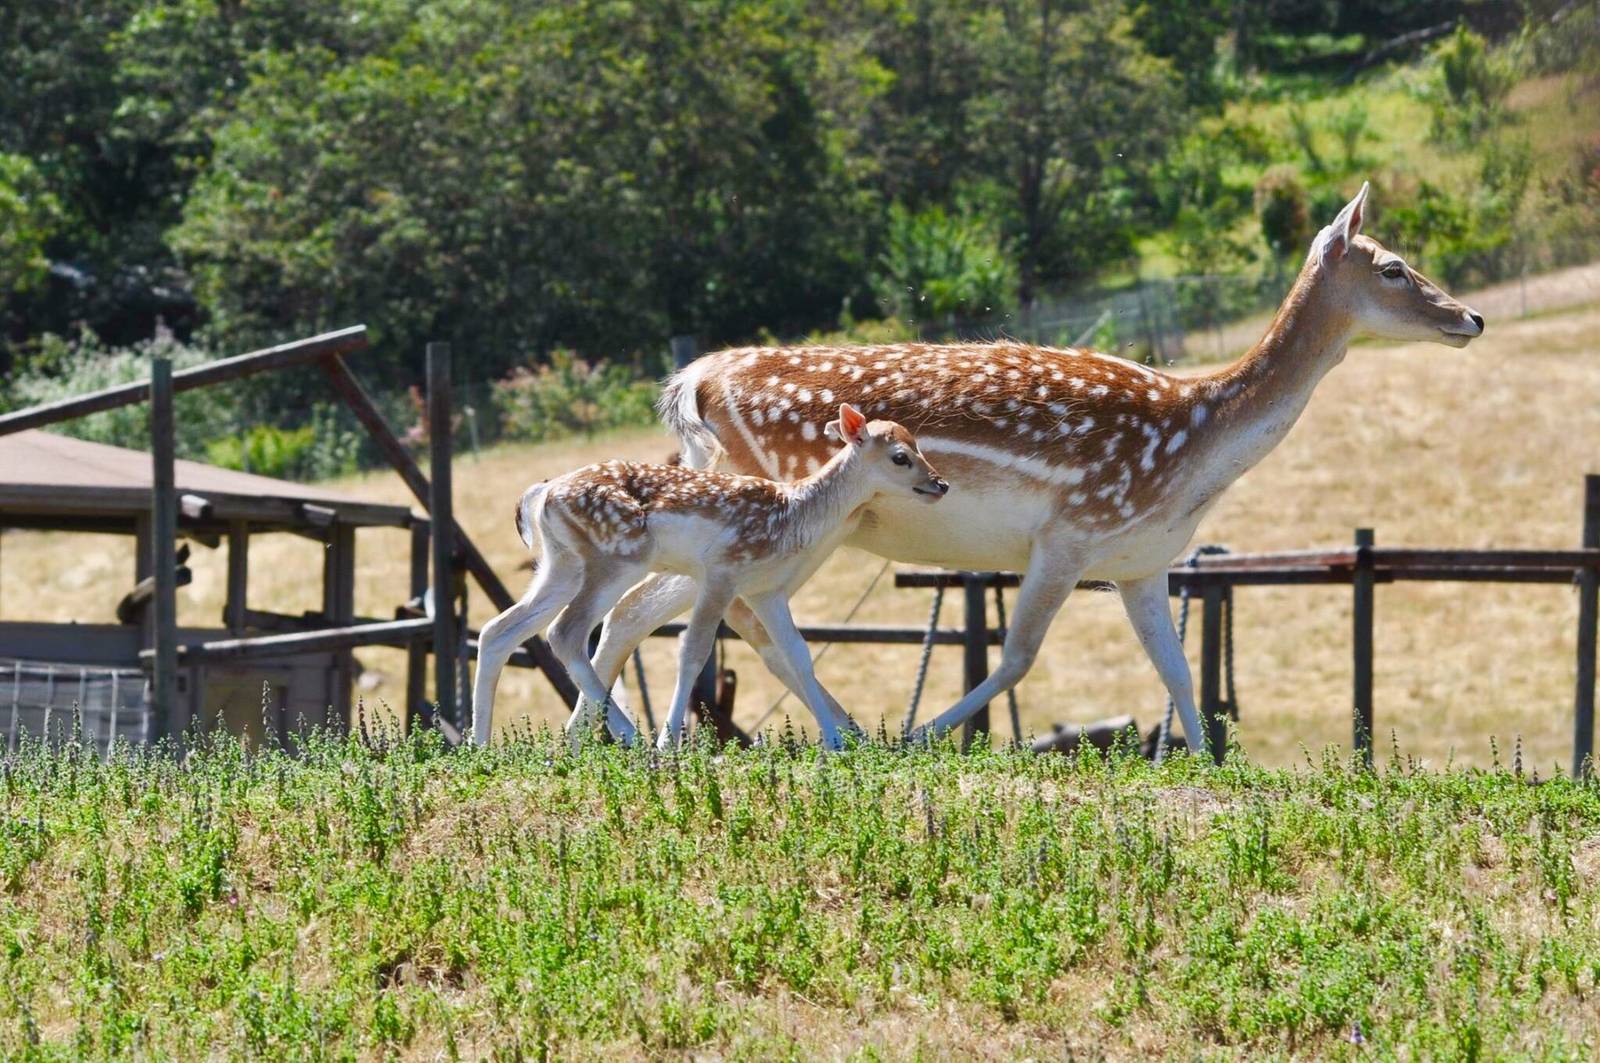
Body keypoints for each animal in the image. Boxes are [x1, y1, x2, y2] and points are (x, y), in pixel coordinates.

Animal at [471, 403, 949, 750]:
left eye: (917, 444)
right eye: (901, 457)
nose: (940, 484)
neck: (795, 517)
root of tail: (542, 493)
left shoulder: (767, 590)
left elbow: (797, 654)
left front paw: (835, 742)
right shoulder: (722, 571)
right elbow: (693, 651)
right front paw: (669, 744)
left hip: (561, 564)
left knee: (499, 630)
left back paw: (481, 746)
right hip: (616, 557)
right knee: (566, 632)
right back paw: (633, 737)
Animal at [573, 181, 1486, 755]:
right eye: (1394, 266)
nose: (1471, 317)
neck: (1194, 446)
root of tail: (693, 380)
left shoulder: (1142, 559)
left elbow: (1179, 671)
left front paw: (1212, 763)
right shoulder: (1072, 532)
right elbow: (1016, 656)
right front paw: (923, 735)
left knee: (635, 610)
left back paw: (596, 738)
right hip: (786, 511)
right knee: (733, 618)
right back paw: (845, 735)